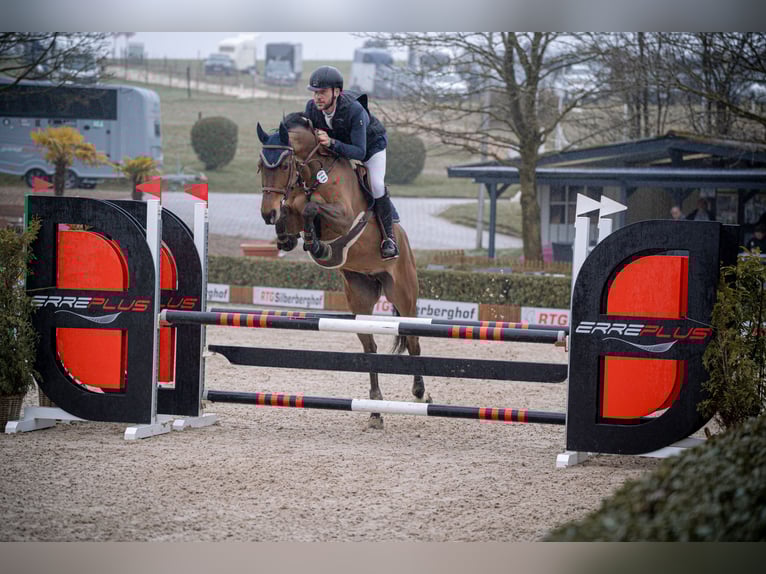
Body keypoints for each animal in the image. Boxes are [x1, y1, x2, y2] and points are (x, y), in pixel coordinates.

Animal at [256, 112, 429, 429]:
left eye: (284, 165)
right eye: (261, 166)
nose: (266, 213)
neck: (312, 175)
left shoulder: (344, 216)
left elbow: (311, 208)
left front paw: (318, 246)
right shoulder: (294, 207)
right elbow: (294, 211)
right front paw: (287, 238)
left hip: (403, 293)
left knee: (413, 340)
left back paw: (420, 391)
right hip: (359, 296)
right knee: (370, 348)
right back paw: (375, 412)